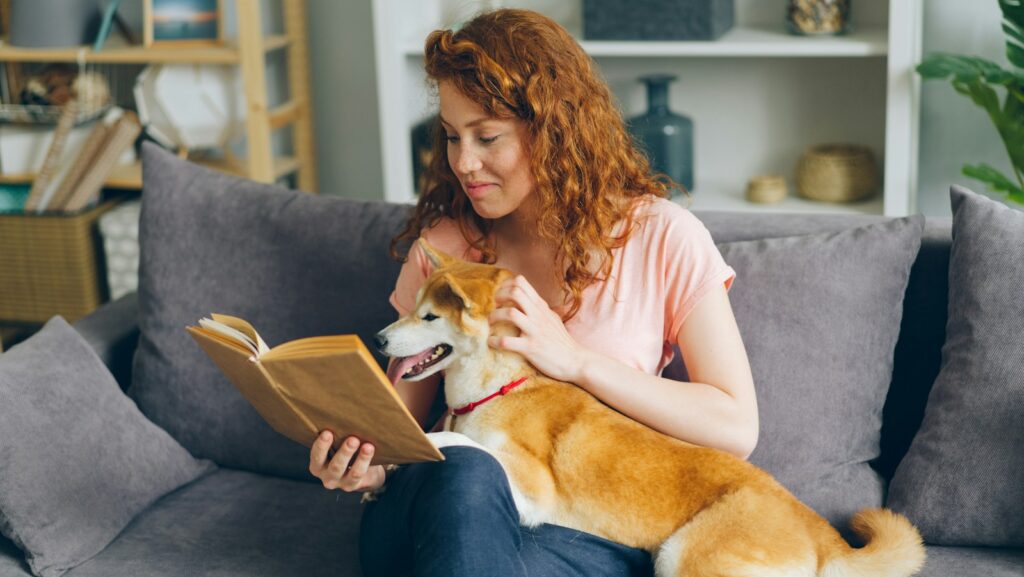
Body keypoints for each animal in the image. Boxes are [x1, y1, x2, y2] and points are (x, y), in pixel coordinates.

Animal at [376, 237, 929, 577]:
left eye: (429, 317)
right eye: (411, 308)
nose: (379, 339)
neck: (500, 386)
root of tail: (823, 536)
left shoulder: (532, 488)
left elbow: (463, 444)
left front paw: (419, 440)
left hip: (684, 556)